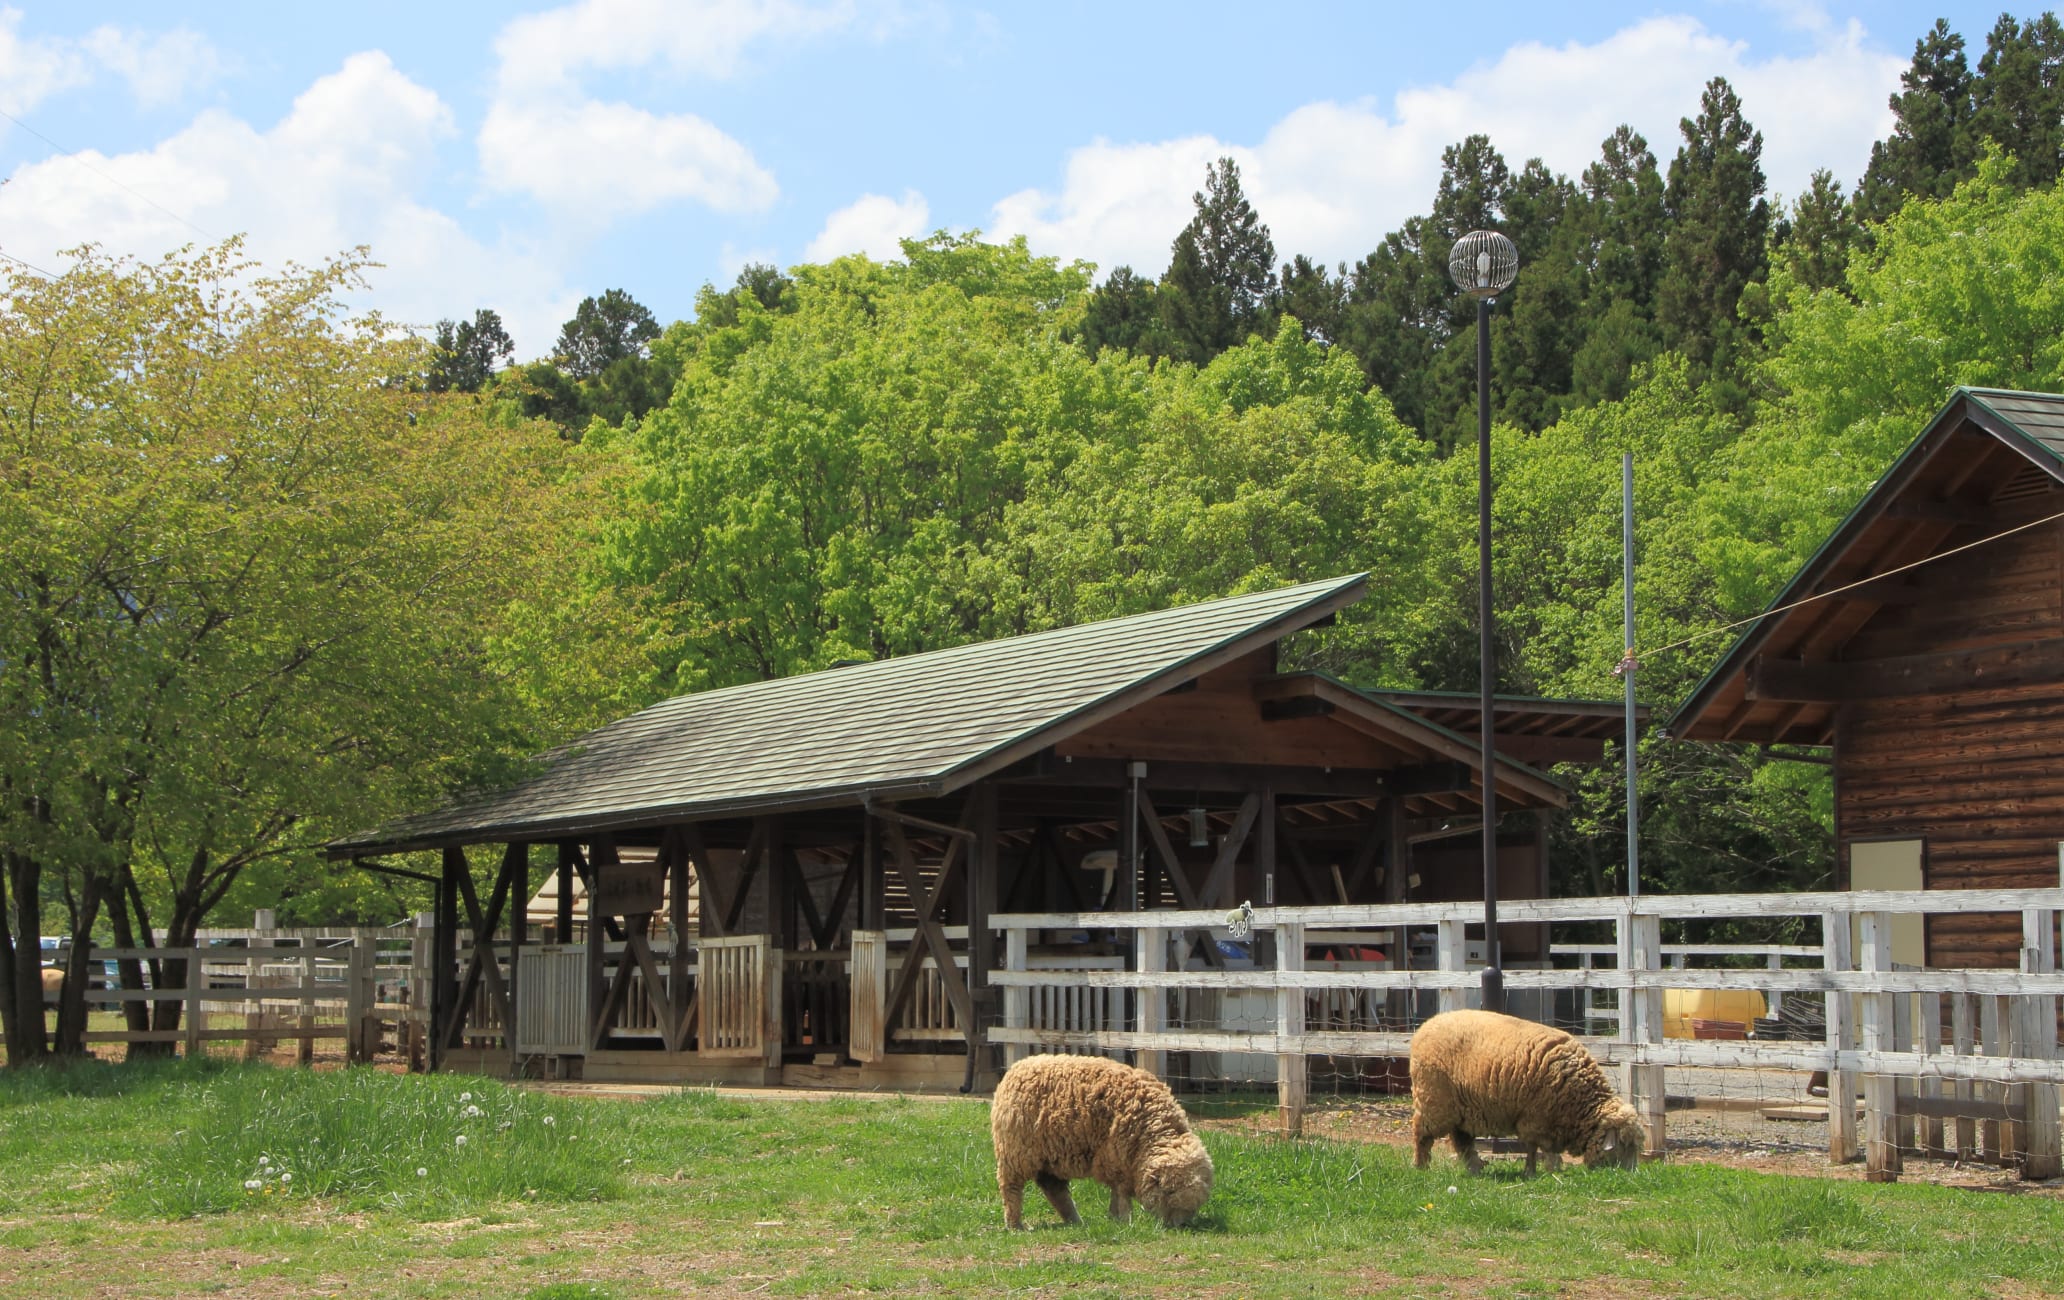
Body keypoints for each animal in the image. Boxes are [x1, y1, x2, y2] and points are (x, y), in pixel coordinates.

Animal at [994, 1056, 1213, 1229]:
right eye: (1170, 1192)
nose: (1179, 1226)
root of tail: (1016, 1068)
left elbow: (1117, 1192)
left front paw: (1115, 1219)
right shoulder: (1116, 1160)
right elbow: (1121, 1194)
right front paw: (1124, 1220)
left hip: (1049, 1159)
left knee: (1054, 1190)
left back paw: (1075, 1221)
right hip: (1016, 1153)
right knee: (1011, 1189)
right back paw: (1015, 1224)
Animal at [1403, 1006, 1642, 1180]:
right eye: (1624, 1145)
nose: (1631, 1176)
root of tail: (1425, 1026)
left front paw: (1546, 1169)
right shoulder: (1536, 1118)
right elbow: (1535, 1148)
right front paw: (1539, 1171)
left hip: (1460, 1109)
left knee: (1462, 1140)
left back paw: (1474, 1169)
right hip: (1433, 1100)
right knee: (1421, 1134)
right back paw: (1420, 1166)